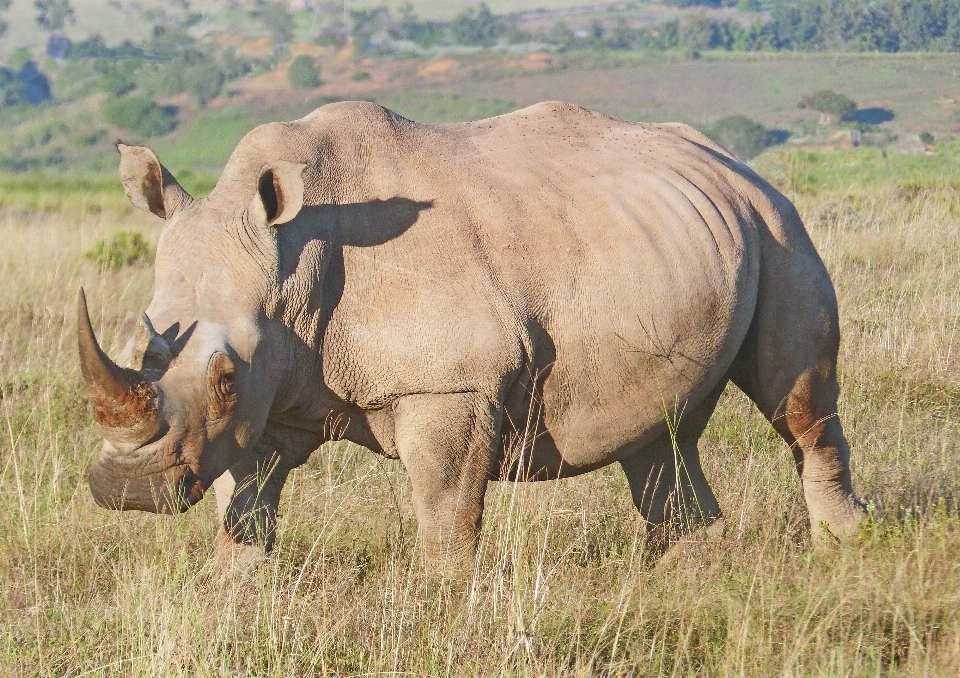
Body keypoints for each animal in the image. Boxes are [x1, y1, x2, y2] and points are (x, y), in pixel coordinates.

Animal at [79, 102, 868, 568]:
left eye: (224, 377)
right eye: (146, 351)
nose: (128, 492)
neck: (291, 265)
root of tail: (736, 165)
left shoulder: (449, 386)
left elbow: (445, 518)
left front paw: (440, 610)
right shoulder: (268, 400)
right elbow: (245, 505)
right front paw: (237, 590)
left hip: (778, 226)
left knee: (800, 404)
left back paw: (845, 550)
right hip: (684, 239)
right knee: (661, 438)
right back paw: (685, 576)